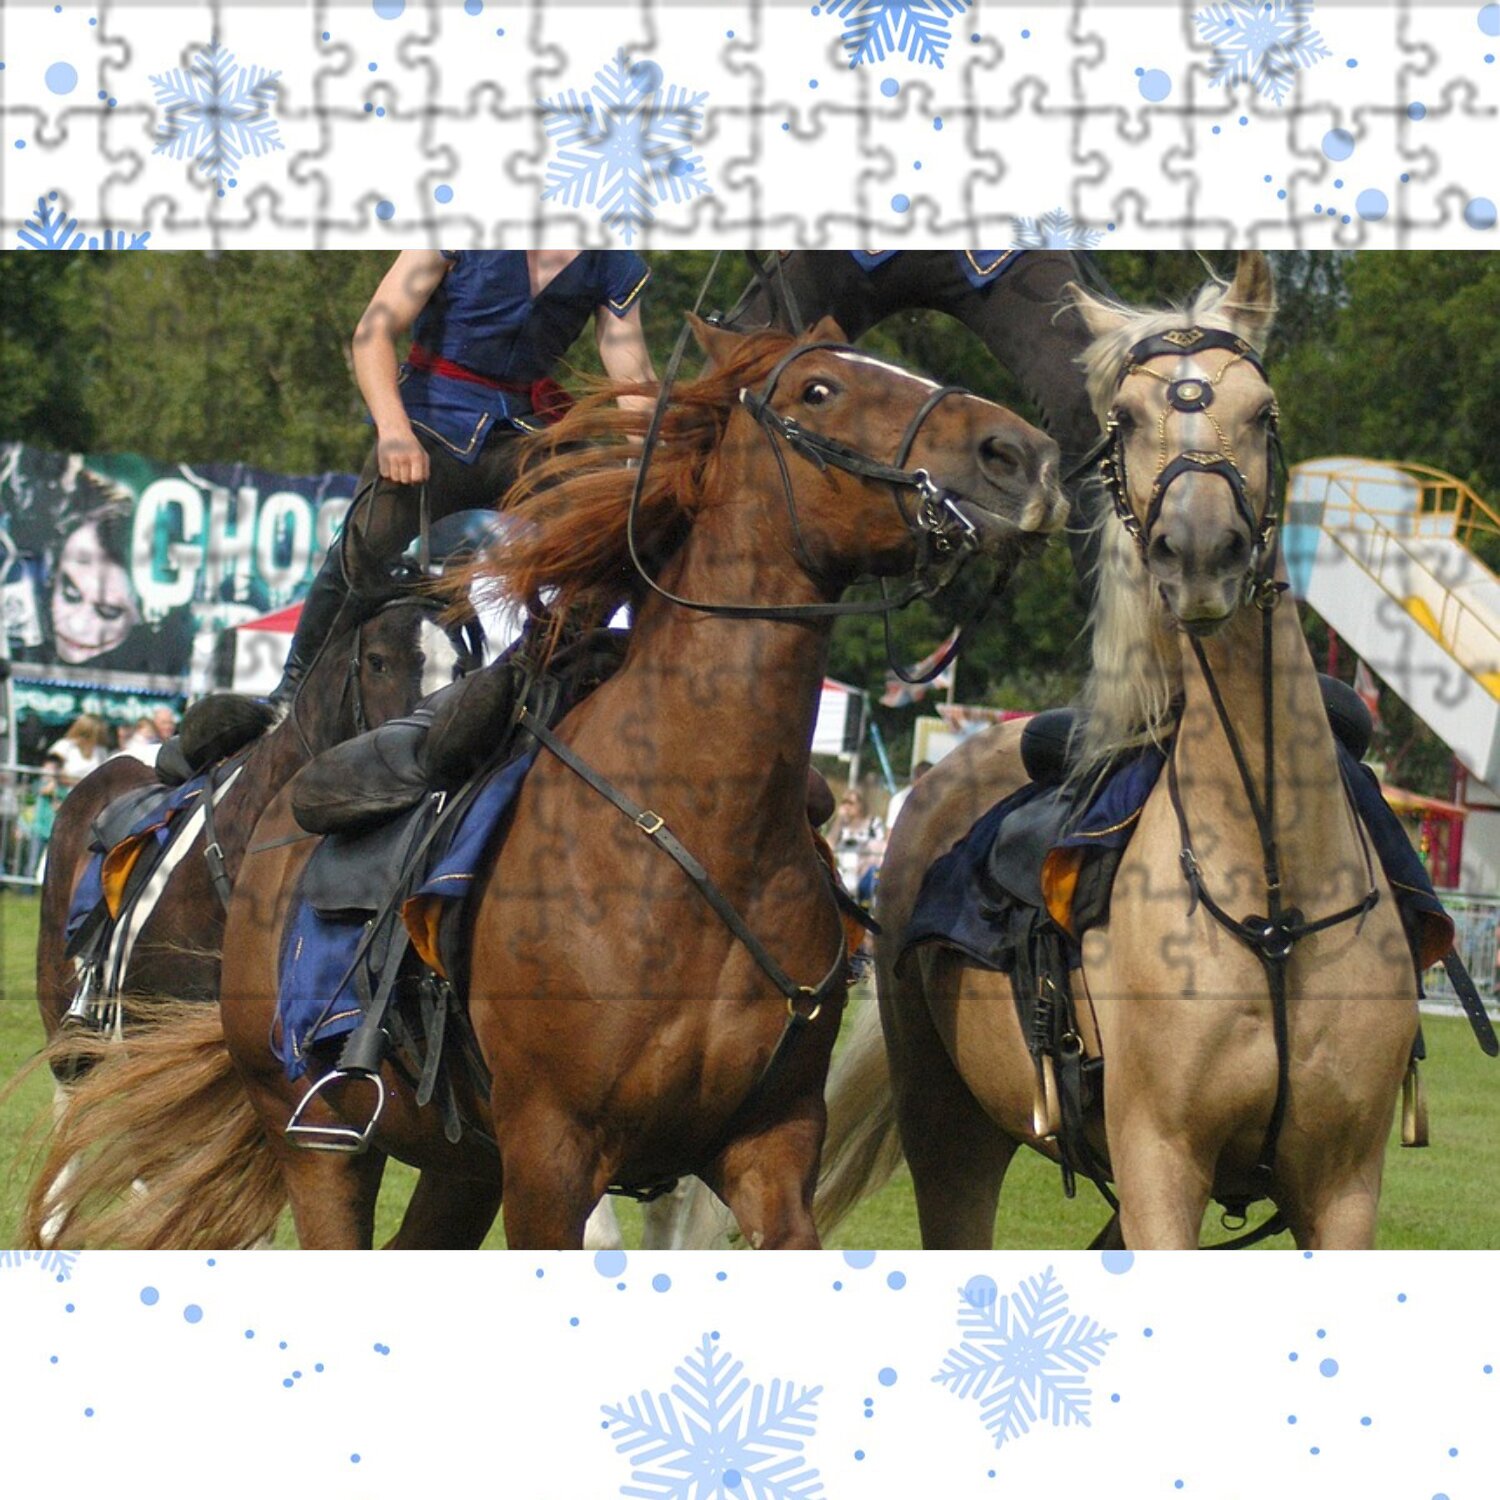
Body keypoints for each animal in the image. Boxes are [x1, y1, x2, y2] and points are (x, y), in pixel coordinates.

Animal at [27, 315, 1066, 1249]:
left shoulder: (768, 1154)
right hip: (316, 1138)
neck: (689, 829)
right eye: (820, 389)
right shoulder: (552, 1162)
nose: (1022, 454)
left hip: (457, 1164)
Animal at [807, 251, 1423, 1251]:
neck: (1274, 894)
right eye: (1125, 418)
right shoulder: (1159, 1167)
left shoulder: (1340, 1187)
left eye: (1264, 410)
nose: (1201, 552)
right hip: (948, 1129)